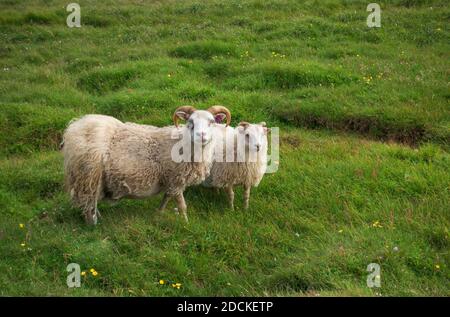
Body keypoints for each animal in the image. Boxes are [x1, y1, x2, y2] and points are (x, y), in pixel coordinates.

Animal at [62, 105, 232, 223]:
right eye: (190, 122)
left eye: (211, 122)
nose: (201, 135)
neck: (182, 144)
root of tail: (73, 128)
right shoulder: (176, 179)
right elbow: (182, 205)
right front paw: (186, 222)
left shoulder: (170, 180)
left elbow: (166, 197)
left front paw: (159, 213)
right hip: (88, 174)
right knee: (88, 202)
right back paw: (92, 224)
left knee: (91, 201)